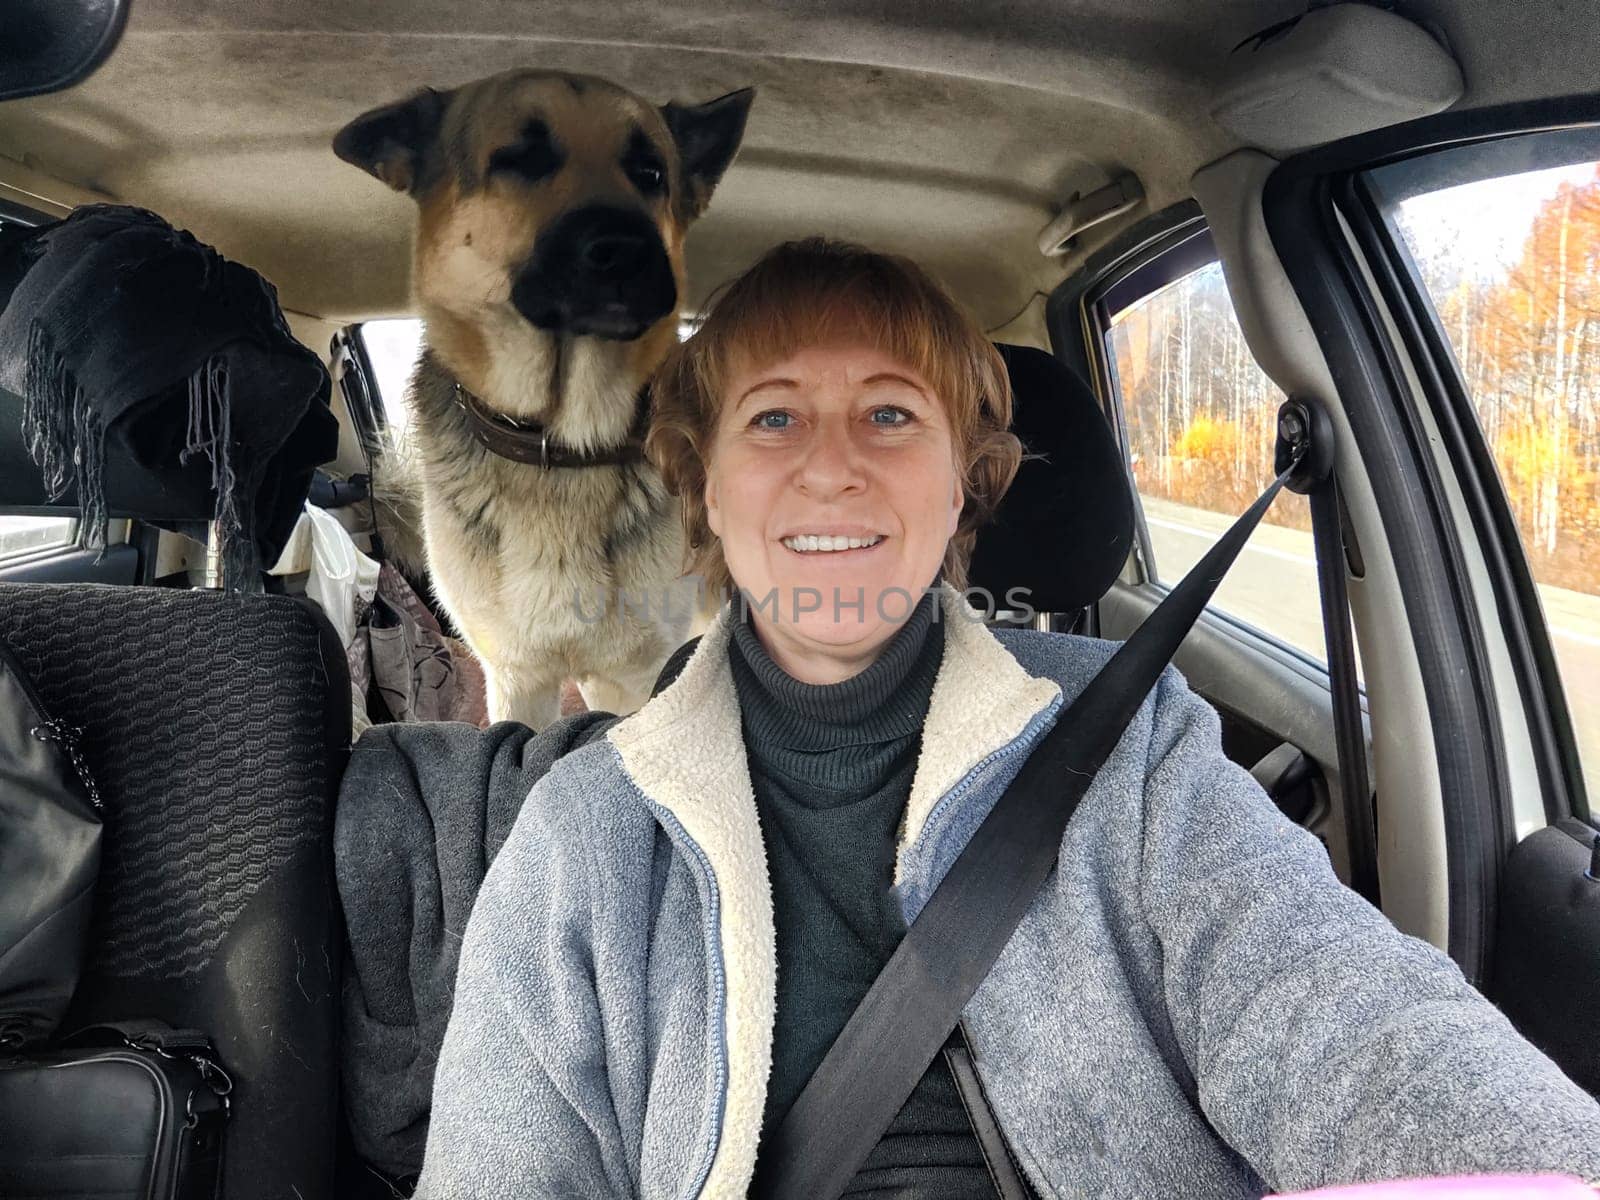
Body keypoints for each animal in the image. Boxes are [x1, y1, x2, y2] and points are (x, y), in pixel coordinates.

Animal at [332, 77, 755, 732]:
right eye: (521, 158)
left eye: (651, 171)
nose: (629, 248)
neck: (558, 442)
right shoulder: (519, 678)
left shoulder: (635, 675)